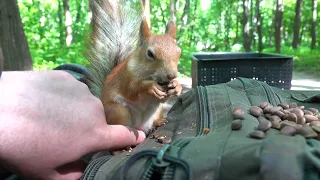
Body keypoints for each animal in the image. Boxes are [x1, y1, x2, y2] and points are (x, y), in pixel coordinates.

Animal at [85, 0, 182, 134]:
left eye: (179, 52)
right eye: (150, 54)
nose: (172, 75)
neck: (150, 75)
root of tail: (140, 126)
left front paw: (177, 86)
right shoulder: (126, 76)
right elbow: (132, 89)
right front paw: (150, 87)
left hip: (157, 112)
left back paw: (158, 122)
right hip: (118, 111)